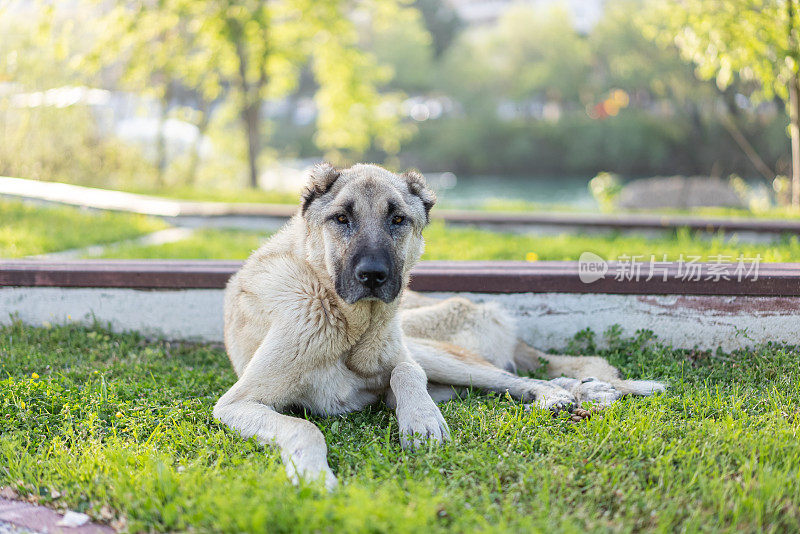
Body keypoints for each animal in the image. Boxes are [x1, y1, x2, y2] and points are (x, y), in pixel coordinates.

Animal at [211, 165, 664, 492]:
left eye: (398, 219)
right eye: (341, 218)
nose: (373, 275)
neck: (347, 324)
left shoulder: (403, 358)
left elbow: (405, 371)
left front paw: (422, 420)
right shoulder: (236, 403)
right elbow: (304, 426)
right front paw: (314, 477)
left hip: (432, 348)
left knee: (517, 379)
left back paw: (577, 392)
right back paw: (588, 390)